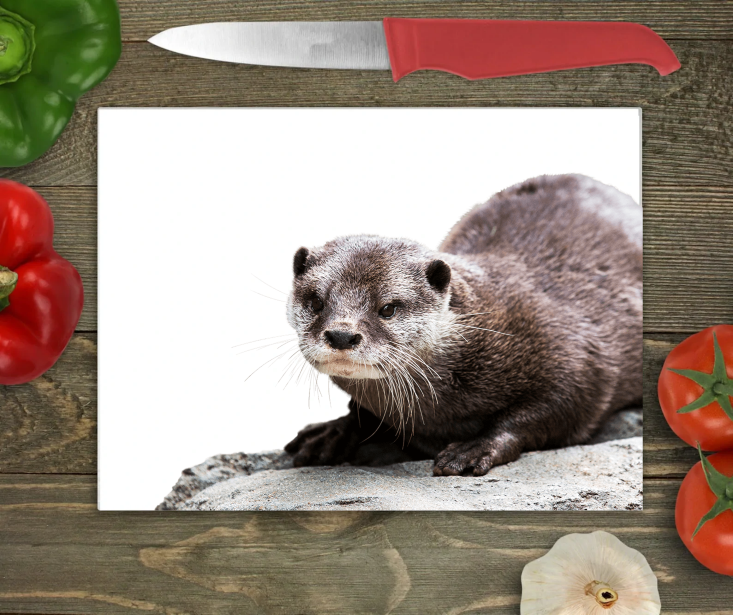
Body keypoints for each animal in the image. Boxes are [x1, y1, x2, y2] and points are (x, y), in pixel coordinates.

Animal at [284, 174, 642, 476]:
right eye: (316, 302)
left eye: (387, 308)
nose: (342, 334)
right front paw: (333, 432)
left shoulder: (578, 359)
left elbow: (553, 410)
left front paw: (474, 448)